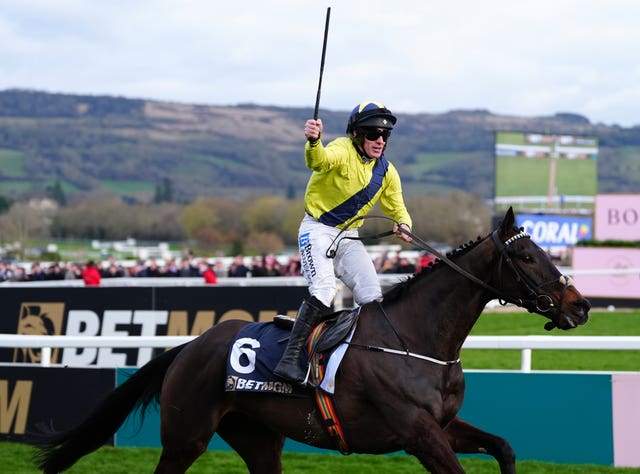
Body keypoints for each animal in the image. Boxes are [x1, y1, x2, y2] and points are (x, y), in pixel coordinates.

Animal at [32, 209, 588, 474]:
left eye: (546, 250)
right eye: (529, 257)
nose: (580, 305)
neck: (415, 340)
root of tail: (189, 347)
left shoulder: (444, 426)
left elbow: (505, 447)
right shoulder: (417, 433)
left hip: (258, 438)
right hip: (186, 435)